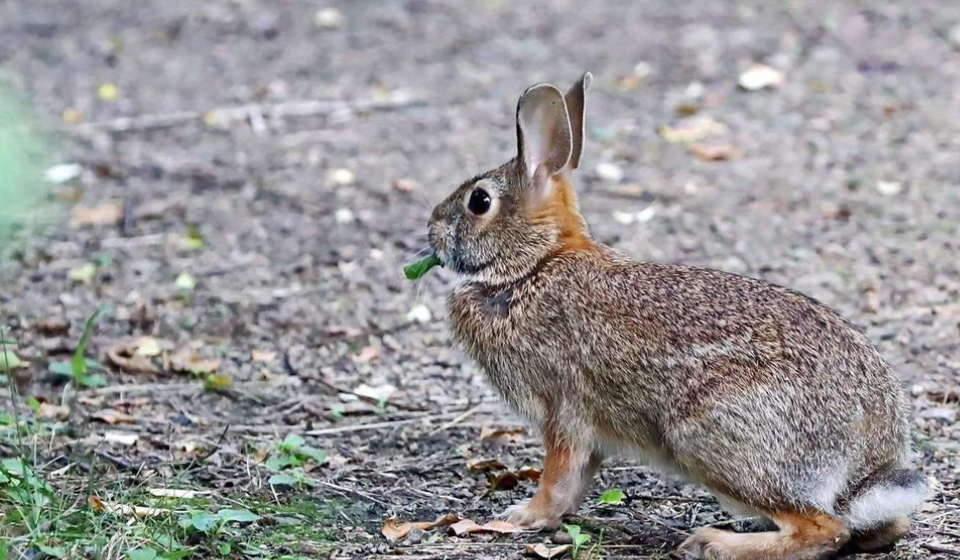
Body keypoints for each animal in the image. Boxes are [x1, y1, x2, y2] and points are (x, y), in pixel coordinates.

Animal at [424, 74, 928, 560]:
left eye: (479, 201)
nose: (432, 228)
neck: (534, 264)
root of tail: (869, 456)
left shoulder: (562, 409)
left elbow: (558, 478)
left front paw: (522, 517)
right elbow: (577, 483)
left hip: (708, 435)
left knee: (825, 529)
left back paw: (712, 544)